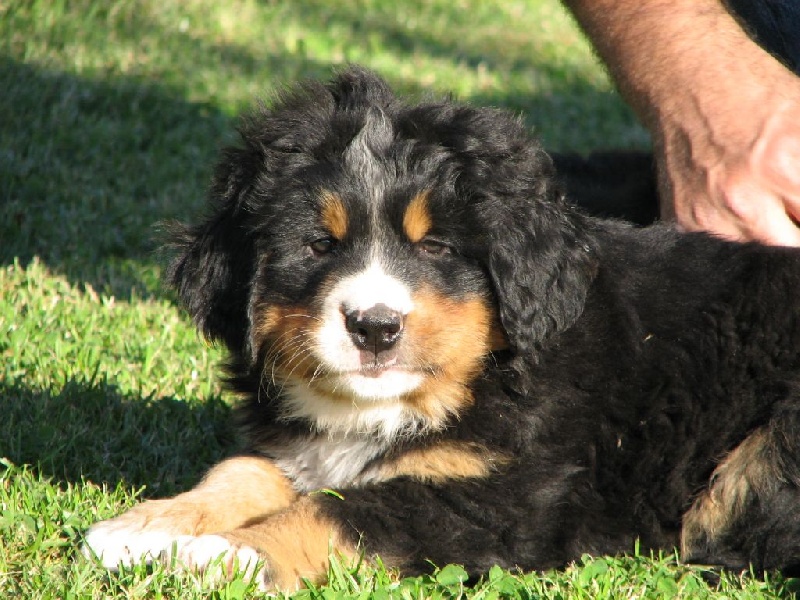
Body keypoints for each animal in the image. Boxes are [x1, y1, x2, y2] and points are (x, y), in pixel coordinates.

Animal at [83, 68, 800, 590]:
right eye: (319, 245)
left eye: (436, 248)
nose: (374, 327)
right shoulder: (303, 449)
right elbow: (243, 470)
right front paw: (146, 526)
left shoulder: (503, 499)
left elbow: (340, 510)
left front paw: (221, 556)